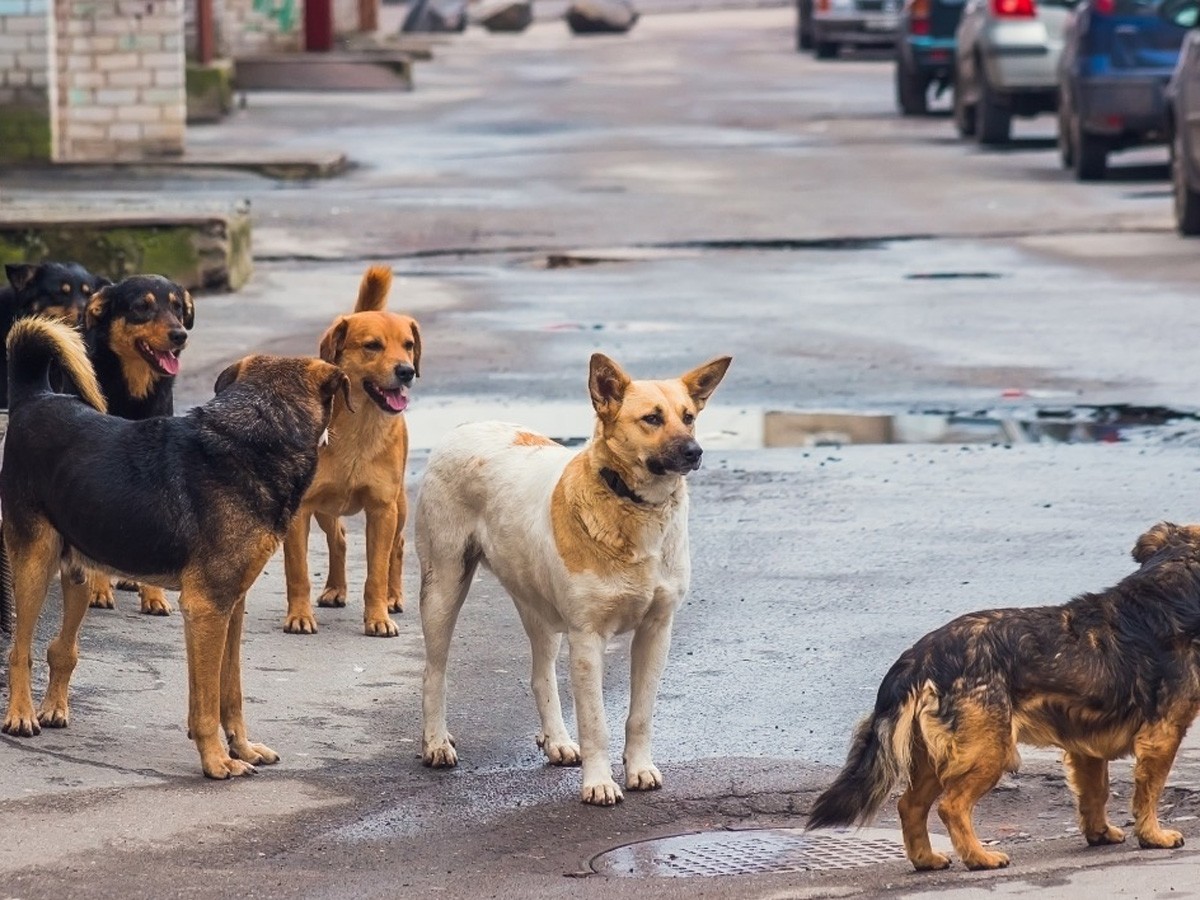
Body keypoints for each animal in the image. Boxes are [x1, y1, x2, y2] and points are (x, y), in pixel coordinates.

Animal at [0, 319, 350, 782]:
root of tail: (36, 397)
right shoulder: (206, 609)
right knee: (19, 650)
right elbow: (206, 702)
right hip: (34, 565)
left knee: (61, 648)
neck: (257, 434)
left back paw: (54, 707)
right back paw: (21, 715)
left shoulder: (231, 607)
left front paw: (242, 748)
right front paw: (217, 760)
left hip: (78, 571)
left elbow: (230, 691)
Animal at [79, 273, 194, 614]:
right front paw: (98, 590)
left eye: (178, 307)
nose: (180, 335)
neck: (133, 390)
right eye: (142, 307)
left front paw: (154, 596)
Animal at [279, 264, 420, 638]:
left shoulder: (382, 509)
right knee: (339, 539)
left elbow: (376, 573)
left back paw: (393, 596)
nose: (407, 371)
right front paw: (299, 615)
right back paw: (335, 588)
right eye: (372, 346)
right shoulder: (300, 510)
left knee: (397, 547)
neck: (360, 426)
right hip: (325, 509)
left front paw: (378, 617)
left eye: (408, 345)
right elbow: (298, 571)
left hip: (399, 505)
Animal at [806, 520, 1200, 873]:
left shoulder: (1086, 747)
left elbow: (1095, 794)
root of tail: (921, 656)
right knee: (951, 806)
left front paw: (1099, 833)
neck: (1170, 588)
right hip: (989, 750)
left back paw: (926, 860)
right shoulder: (1161, 737)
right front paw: (1153, 835)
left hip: (936, 756)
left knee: (910, 806)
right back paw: (979, 858)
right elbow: (1148, 793)